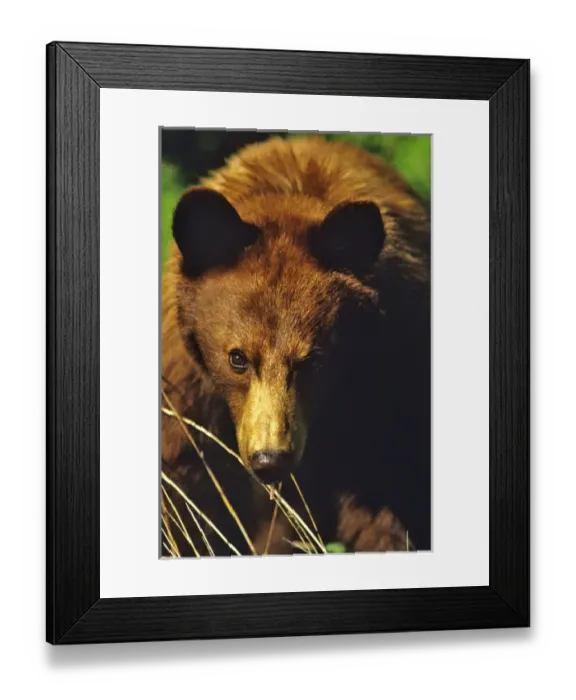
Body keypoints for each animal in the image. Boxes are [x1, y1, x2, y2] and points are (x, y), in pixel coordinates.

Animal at [161, 135, 431, 557]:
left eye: (313, 360)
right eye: (237, 358)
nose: (270, 459)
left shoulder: (390, 382)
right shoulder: (188, 394)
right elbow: (183, 490)